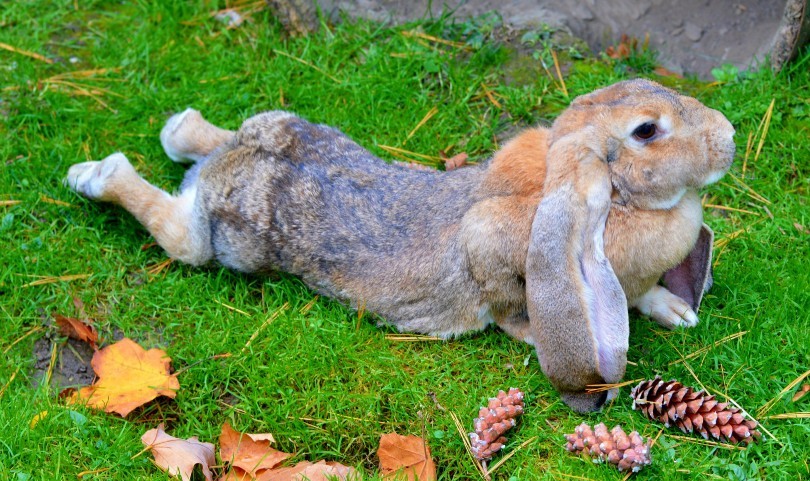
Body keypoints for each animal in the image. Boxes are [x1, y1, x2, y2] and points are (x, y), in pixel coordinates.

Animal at [65, 79, 735, 413]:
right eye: (646, 131)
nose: (728, 138)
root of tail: (242, 159)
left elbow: (642, 294)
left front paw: (677, 311)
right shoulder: (495, 247)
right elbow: (505, 298)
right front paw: (528, 335)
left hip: (279, 131)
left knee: (198, 142)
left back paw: (179, 126)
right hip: (228, 240)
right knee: (177, 229)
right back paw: (94, 175)